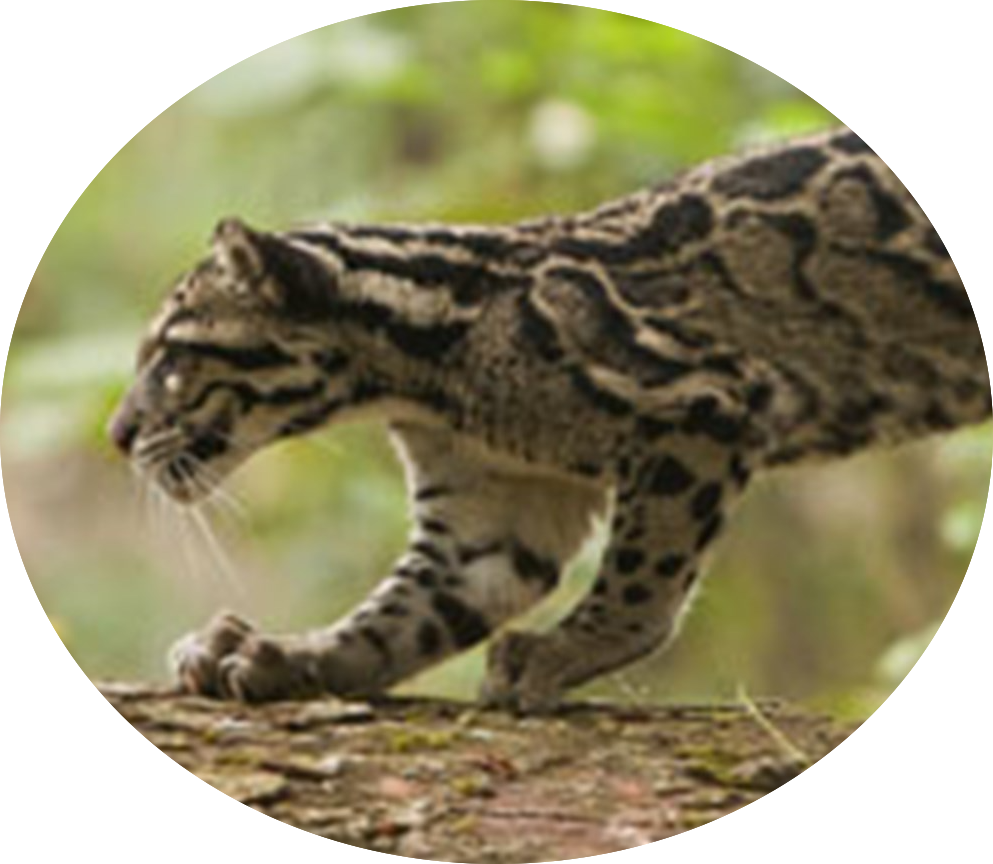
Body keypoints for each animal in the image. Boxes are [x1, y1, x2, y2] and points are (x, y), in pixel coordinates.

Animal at [108, 127, 990, 713]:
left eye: (171, 356)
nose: (117, 436)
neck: (420, 371)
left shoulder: (702, 402)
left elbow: (642, 571)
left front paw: (565, 650)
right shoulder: (487, 518)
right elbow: (395, 620)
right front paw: (288, 656)